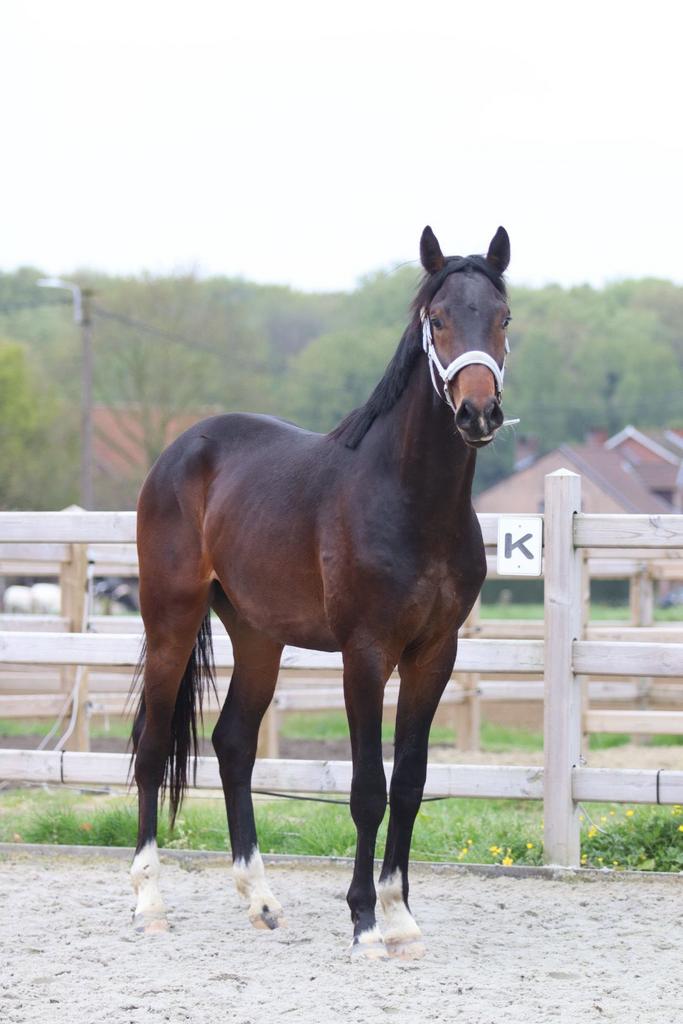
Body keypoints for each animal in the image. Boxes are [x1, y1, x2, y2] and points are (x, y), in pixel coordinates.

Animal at [130, 224, 512, 958]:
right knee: (153, 745)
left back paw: (260, 900)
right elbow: (367, 789)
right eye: (437, 318)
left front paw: (400, 918)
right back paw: (149, 902)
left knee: (233, 744)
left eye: (504, 317)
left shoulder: (434, 654)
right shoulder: (364, 654)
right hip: (170, 622)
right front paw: (364, 921)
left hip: (257, 637)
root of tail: (181, 450)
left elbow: (410, 783)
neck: (410, 498)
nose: (478, 412)